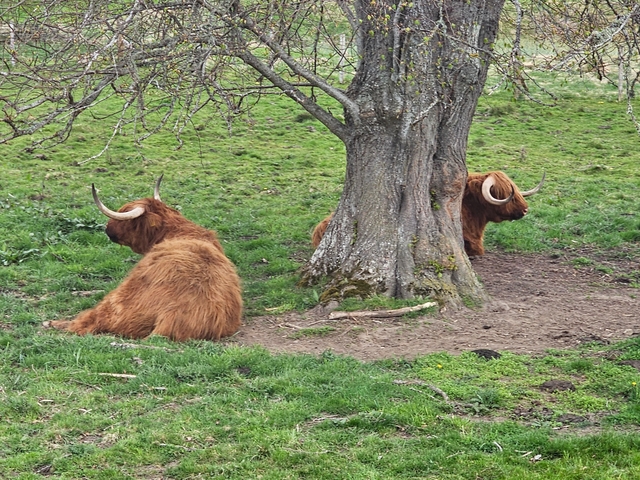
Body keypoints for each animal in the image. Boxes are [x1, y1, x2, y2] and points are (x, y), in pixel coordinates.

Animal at [48, 176, 243, 341]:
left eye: (124, 217)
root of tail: (170, 317)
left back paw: (52, 323)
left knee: (87, 321)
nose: (107, 229)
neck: (178, 232)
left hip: (117, 301)